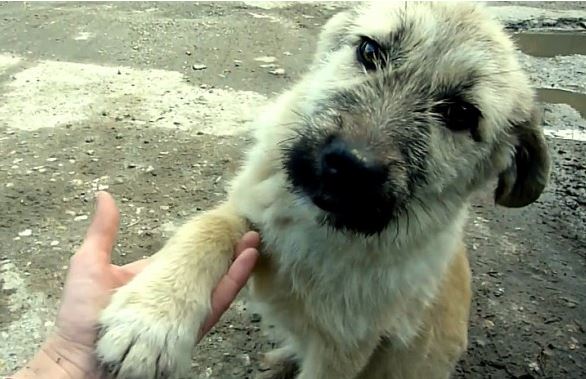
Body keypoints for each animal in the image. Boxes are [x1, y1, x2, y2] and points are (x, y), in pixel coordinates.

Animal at [94, 2, 548, 379]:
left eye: (460, 114)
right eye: (369, 52)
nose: (349, 166)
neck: (321, 231)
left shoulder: (345, 349)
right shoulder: (254, 211)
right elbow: (205, 229)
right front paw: (151, 319)